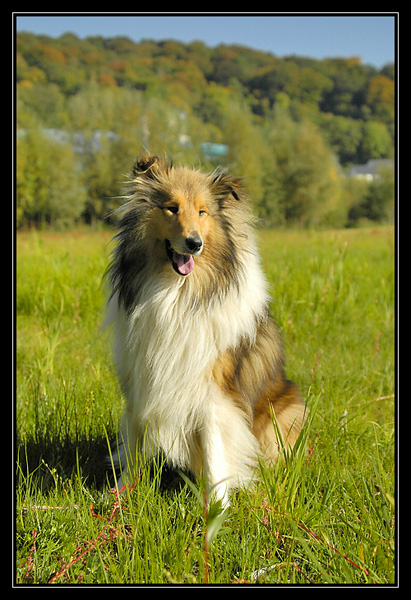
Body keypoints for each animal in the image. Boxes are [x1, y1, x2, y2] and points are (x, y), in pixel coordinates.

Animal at [108, 154, 308, 502]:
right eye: (171, 208)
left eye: (203, 212)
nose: (194, 243)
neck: (177, 293)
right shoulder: (140, 379)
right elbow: (132, 444)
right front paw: (121, 496)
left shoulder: (213, 393)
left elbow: (216, 453)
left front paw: (215, 507)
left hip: (287, 410)